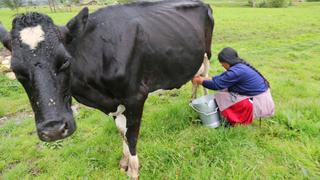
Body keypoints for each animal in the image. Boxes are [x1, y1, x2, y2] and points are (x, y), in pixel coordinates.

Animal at [0, 0, 215, 179]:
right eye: (16, 71)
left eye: (66, 61)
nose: (53, 130)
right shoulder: (113, 101)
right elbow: (121, 131)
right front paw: (125, 162)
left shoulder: (136, 96)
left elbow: (131, 134)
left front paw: (134, 171)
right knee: (196, 79)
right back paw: (192, 100)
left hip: (207, 53)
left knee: (205, 78)